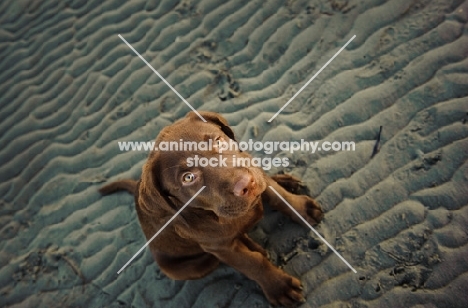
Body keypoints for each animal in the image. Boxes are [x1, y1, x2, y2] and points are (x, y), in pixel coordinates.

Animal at [99, 112, 322, 306]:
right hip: (188, 266)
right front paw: (279, 287)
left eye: (218, 141)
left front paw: (301, 209)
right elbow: (252, 263)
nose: (246, 184)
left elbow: (278, 195)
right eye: (188, 178)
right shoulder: (220, 248)